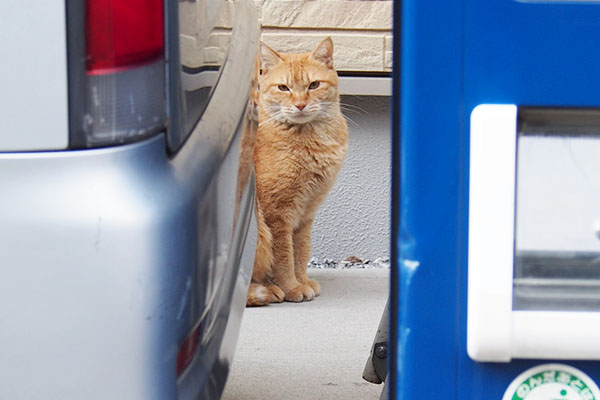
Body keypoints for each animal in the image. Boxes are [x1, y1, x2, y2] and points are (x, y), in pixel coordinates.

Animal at [245, 37, 346, 306]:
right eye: (283, 88)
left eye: (314, 85)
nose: (300, 104)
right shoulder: (277, 213)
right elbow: (284, 257)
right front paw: (291, 287)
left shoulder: (306, 212)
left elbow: (301, 252)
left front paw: (302, 281)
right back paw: (265, 291)